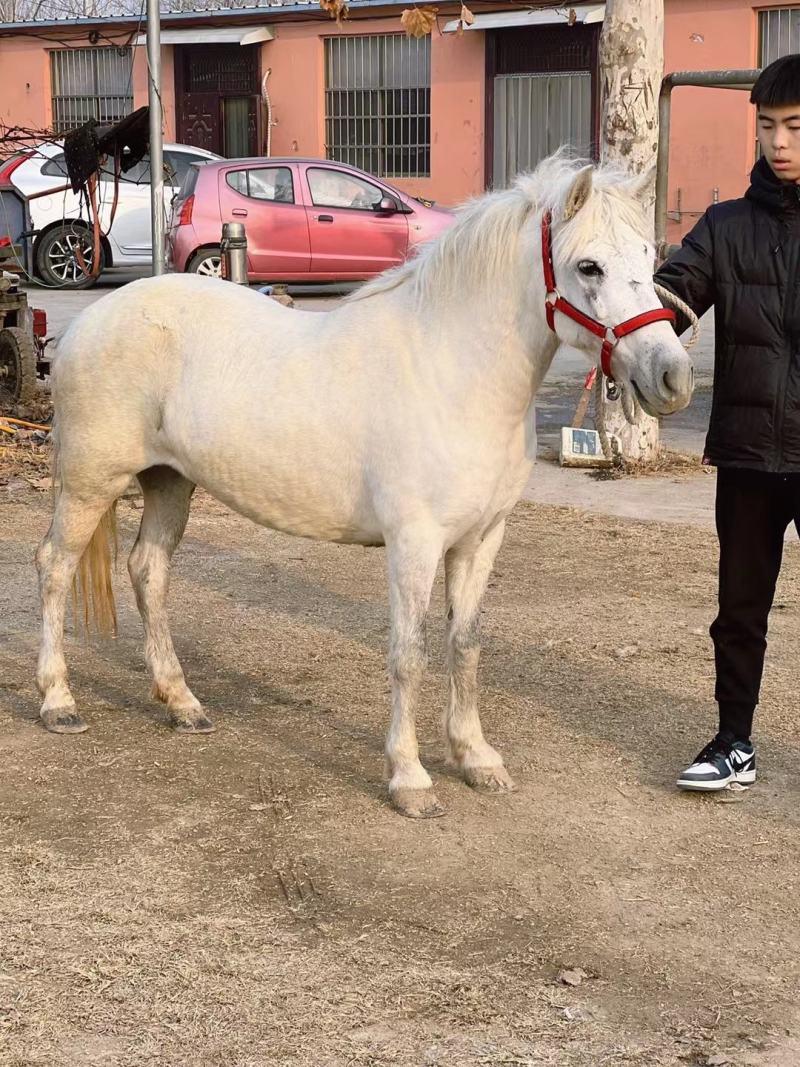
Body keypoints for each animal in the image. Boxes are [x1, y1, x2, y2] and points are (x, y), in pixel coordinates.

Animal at [35, 155, 694, 818]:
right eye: (588, 266)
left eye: (648, 255)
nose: (672, 376)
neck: (453, 369)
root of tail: (88, 321)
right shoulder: (414, 543)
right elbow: (409, 654)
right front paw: (410, 779)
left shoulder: (481, 539)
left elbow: (466, 645)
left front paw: (476, 759)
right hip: (90, 482)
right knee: (55, 566)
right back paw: (58, 702)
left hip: (170, 482)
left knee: (148, 570)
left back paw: (182, 702)